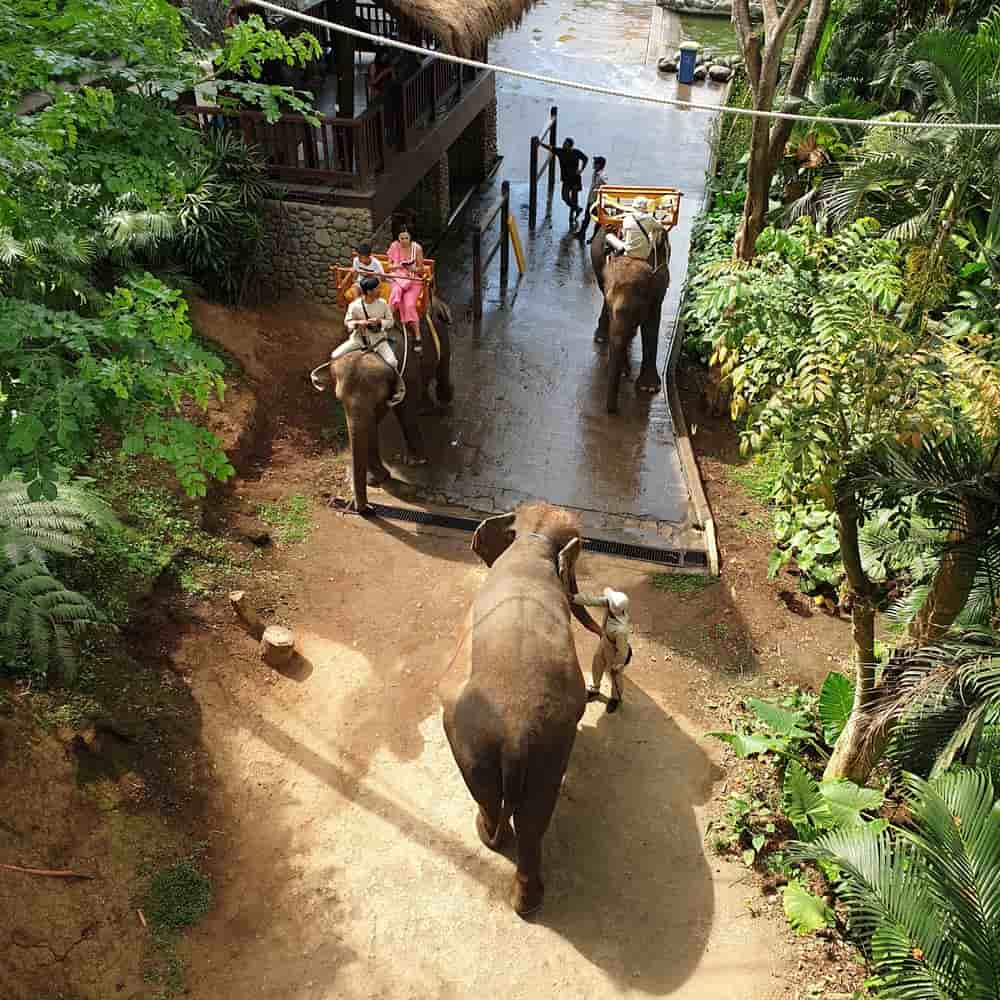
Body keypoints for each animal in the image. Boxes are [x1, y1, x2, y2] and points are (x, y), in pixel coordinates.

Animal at [328, 298, 454, 512]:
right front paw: (376, 478)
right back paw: (425, 408)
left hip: (442, 334)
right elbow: (371, 423)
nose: (365, 509)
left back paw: (444, 402)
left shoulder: (406, 371)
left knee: (442, 368)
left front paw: (415, 462)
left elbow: (404, 411)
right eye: (339, 400)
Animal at [440, 504, 600, 916]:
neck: (531, 543)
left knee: (497, 805)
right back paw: (527, 902)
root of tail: (514, 735)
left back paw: (488, 838)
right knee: (532, 818)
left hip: (479, 745)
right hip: (541, 748)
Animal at [584, 228, 672, 414]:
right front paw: (624, 371)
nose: (611, 411)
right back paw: (602, 338)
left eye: (637, 309)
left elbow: (651, 325)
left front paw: (649, 388)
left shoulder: (659, 290)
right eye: (612, 307)